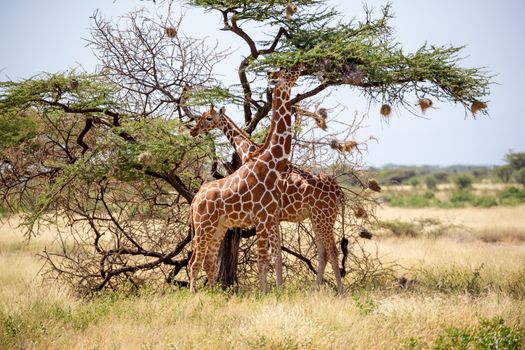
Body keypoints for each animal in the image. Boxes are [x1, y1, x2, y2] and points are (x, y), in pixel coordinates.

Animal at [190, 106, 346, 292]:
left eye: (208, 118)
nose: (193, 130)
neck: (250, 152)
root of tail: (338, 190)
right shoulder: (275, 219)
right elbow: (277, 255)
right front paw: (279, 288)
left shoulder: (270, 217)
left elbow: (274, 255)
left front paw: (275, 288)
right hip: (318, 218)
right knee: (323, 252)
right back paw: (316, 289)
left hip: (325, 217)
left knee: (332, 251)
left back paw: (340, 291)